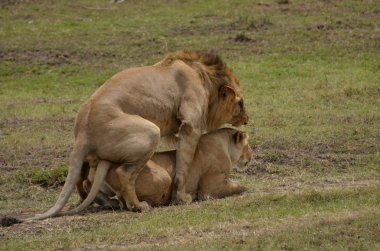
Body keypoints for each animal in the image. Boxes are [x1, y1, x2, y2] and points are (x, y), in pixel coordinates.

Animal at [77, 127, 252, 208]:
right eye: (248, 145)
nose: (251, 156)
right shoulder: (210, 187)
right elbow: (238, 186)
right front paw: (247, 188)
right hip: (163, 176)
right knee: (125, 197)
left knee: (87, 184)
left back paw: (109, 203)